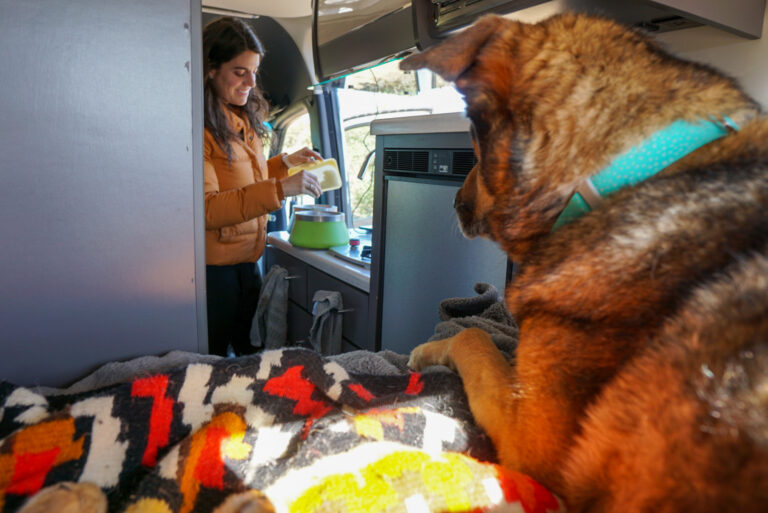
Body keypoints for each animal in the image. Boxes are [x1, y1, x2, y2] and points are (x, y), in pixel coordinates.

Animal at [402, 13, 768, 512]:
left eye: (473, 143)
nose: (454, 201)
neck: (631, 168)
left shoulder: (530, 447)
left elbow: (473, 337)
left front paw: (426, 350)